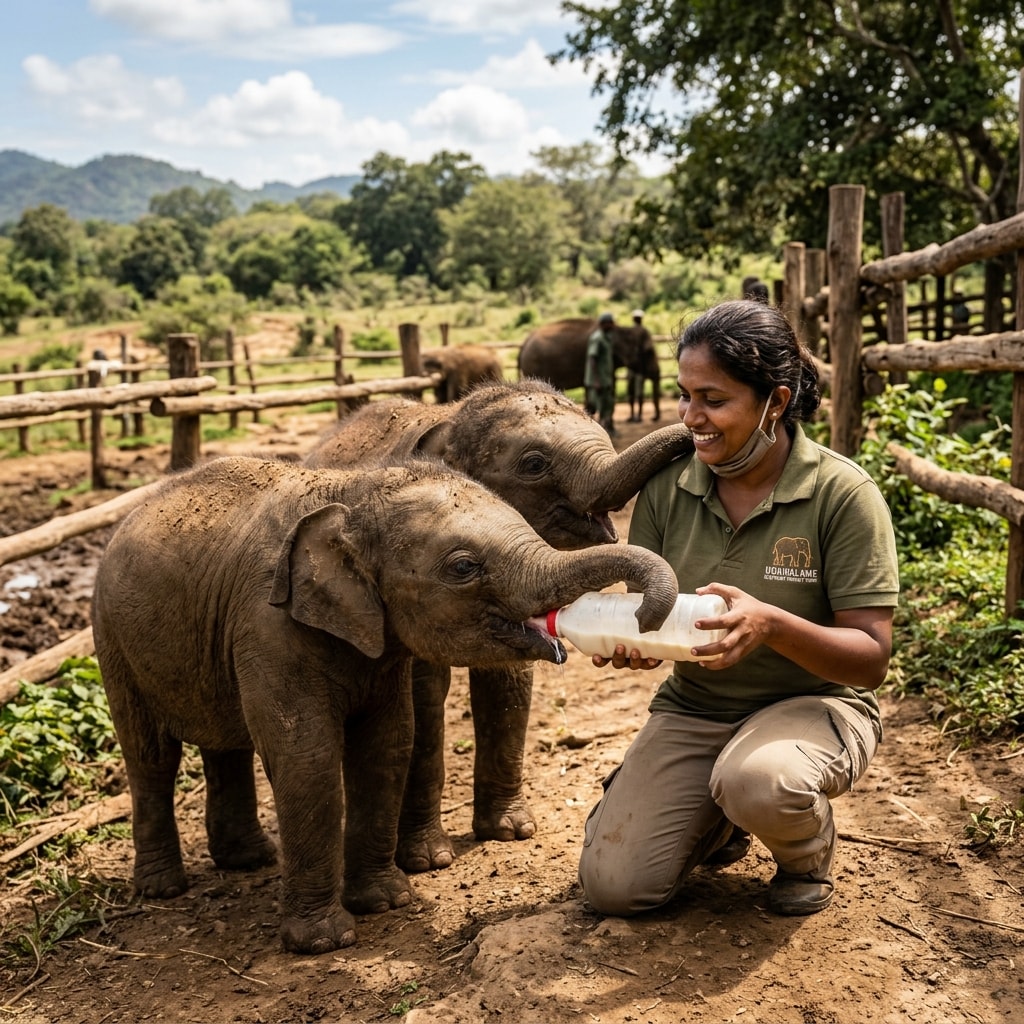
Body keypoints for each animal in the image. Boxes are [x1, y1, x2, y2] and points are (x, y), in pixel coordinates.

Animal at [91, 454, 679, 954]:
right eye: (462, 567)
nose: (640, 617)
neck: (351, 494)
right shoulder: (267, 624)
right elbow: (307, 759)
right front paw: (324, 942)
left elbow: (388, 742)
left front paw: (386, 902)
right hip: (111, 641)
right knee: (150, 756)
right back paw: (163, 888)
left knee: (224, 743)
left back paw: (249, 860)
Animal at [305, 379, 694, 873]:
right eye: (534, 464)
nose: (695, 436)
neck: (450, 418)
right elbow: (424, 696)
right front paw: (428, 860)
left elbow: (509, 681)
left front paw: (513, 832)